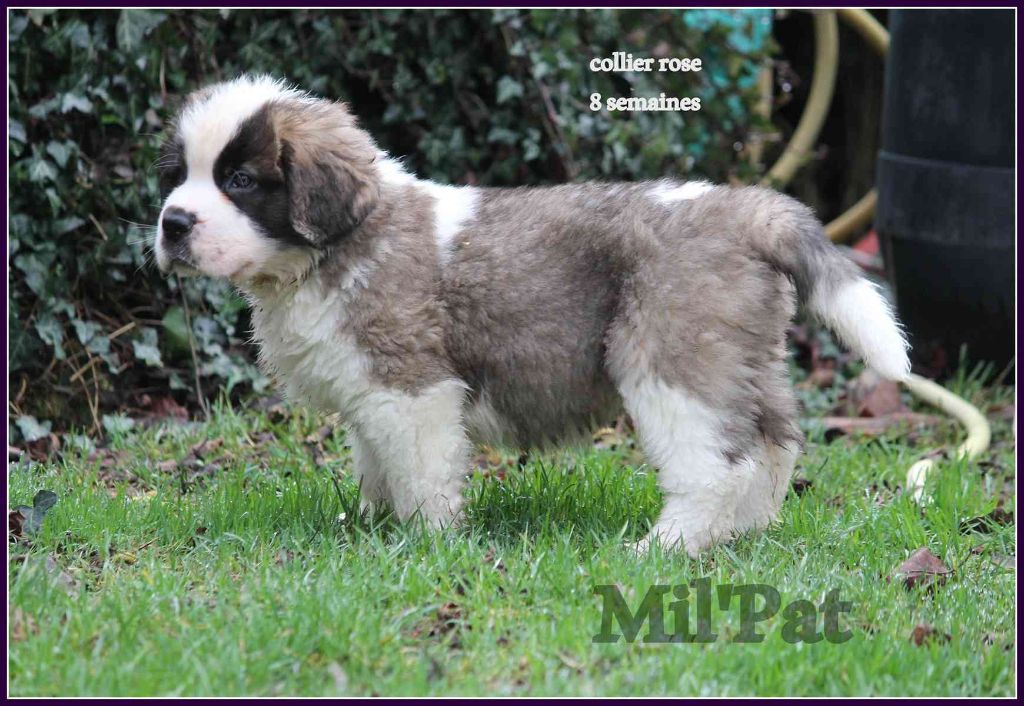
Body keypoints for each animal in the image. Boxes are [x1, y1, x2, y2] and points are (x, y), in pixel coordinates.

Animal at [154, 76, 909, 555]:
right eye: (178, 175)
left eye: (240, 182)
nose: (172, 224)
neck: (330, 250)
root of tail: (749, 208)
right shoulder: (369, 393)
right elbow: (376, 464)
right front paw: (366, 525)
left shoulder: (412, 389)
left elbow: (422, 473)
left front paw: (428, 543)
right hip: (743, 358)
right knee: (775, 441)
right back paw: (745, 533)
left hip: (670, 362)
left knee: (716, 464)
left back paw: (666, 548)